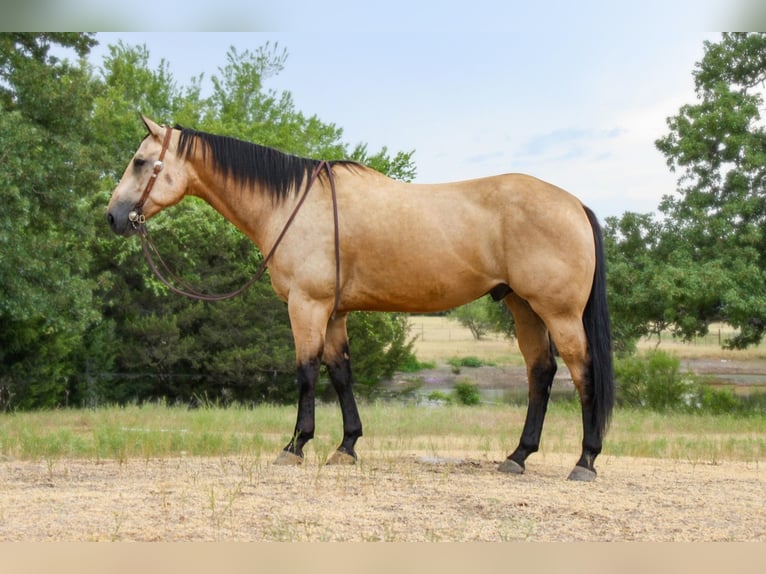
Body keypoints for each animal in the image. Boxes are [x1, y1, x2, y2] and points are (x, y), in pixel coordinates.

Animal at [105, 116, 616, 482]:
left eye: (139, 161)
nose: (113, 216)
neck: (292, 204)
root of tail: (575, 204)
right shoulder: (333, 313)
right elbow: (341, 373)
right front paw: (346, 446)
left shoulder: (306, 306)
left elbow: (306, 372)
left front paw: (295, 446)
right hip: (523, 307)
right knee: (541, 372)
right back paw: (518, 455)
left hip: (558, 312)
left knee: (581, 371)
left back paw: (585, 461)